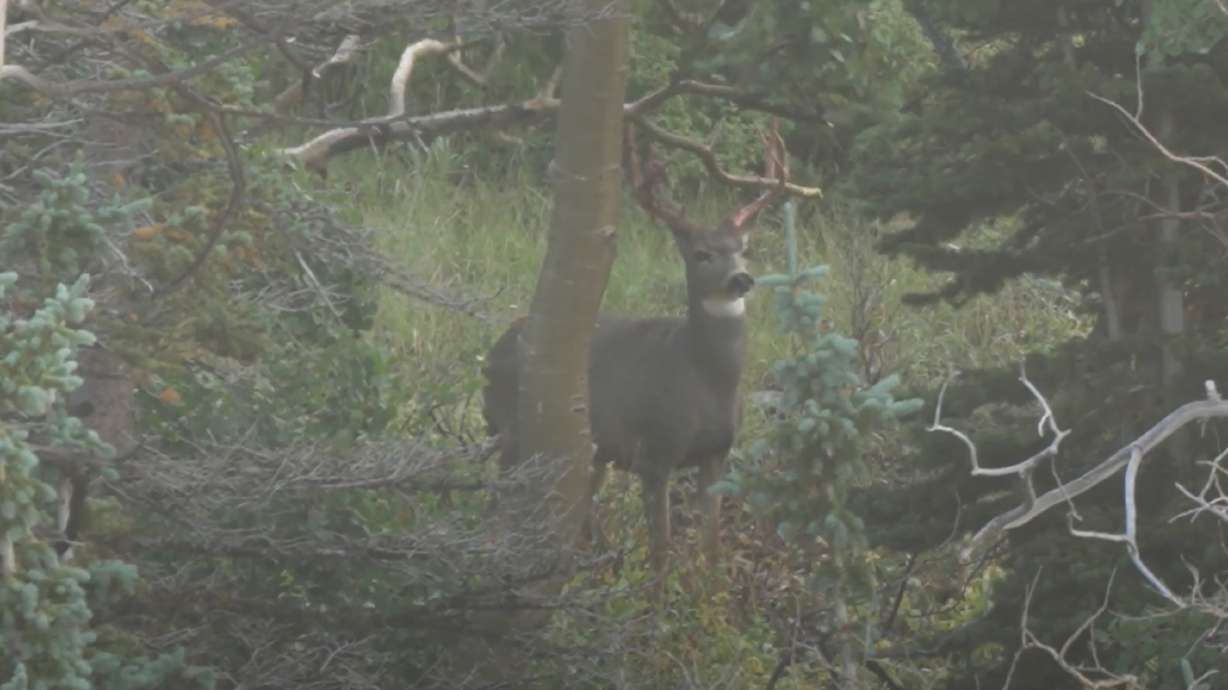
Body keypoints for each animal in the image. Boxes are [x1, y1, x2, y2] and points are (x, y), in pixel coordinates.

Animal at [481, 122, 788, 595]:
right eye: (701, 253)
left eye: (743, 249)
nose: (742, 278)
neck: (702, 378)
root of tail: (492, 353)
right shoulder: (654, 453)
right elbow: (661, 548)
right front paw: (659, 603)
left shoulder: (717, 454)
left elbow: (712, 546)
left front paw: (712, 599)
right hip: (513, 431)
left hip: (587, 451)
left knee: (577, 512)